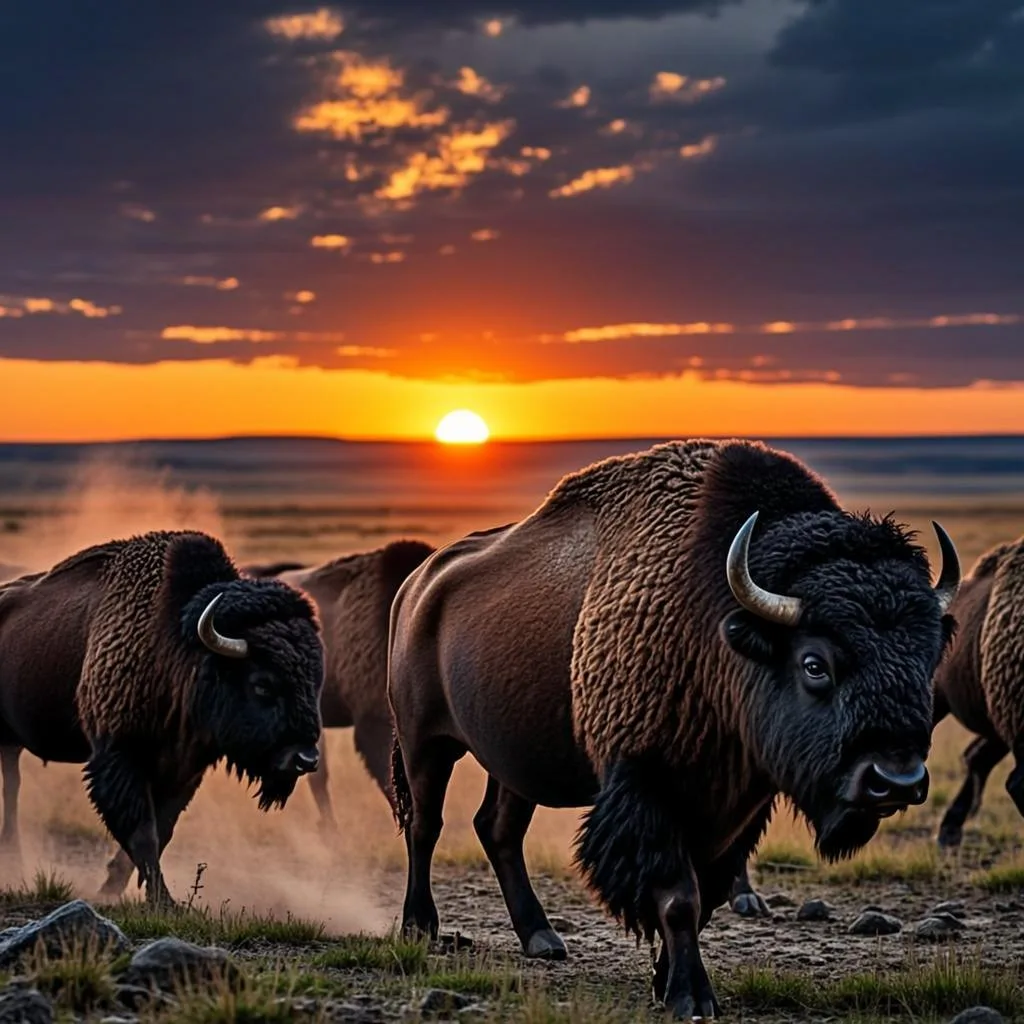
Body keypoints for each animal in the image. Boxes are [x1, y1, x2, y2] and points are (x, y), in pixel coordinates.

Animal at [0, 530, 324, 903]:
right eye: (262, 684)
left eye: (314, 680)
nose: (306, 758)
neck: (175, 645)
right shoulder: (120, 757)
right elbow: (143, 833)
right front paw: (162, 901)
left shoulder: (184, 770)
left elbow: (162, 830)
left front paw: (116, 889)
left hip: (10, 743)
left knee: (11, 783)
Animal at [388, 439, 960, 1019]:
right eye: (814, 664)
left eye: (927, 656)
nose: (897, 780)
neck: (717, 629)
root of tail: (417, 586)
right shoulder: (648, 786)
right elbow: (678, 896)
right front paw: (691, 996)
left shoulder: (735, 803)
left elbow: (706, 894)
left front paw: (666, 981)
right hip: (425, 744)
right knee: (426, 824)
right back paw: (419, 926)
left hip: (512, 764)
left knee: (498, 829)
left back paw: (542, 938)